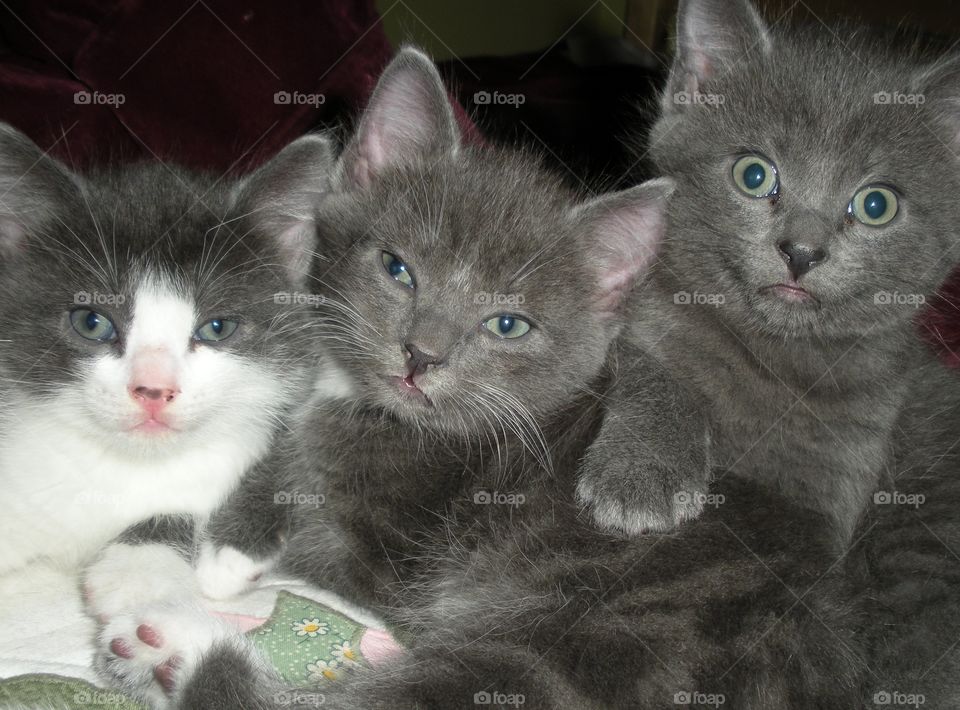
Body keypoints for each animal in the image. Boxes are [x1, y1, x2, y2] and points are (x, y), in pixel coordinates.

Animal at [92, 48, 872, 710]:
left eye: (506, 325)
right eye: (397, 268)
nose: (421, 355)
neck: (361, 403)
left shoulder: (385, 559)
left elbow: (301, 538)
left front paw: (192, 562)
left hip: (576, 648)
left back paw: (171, 645)